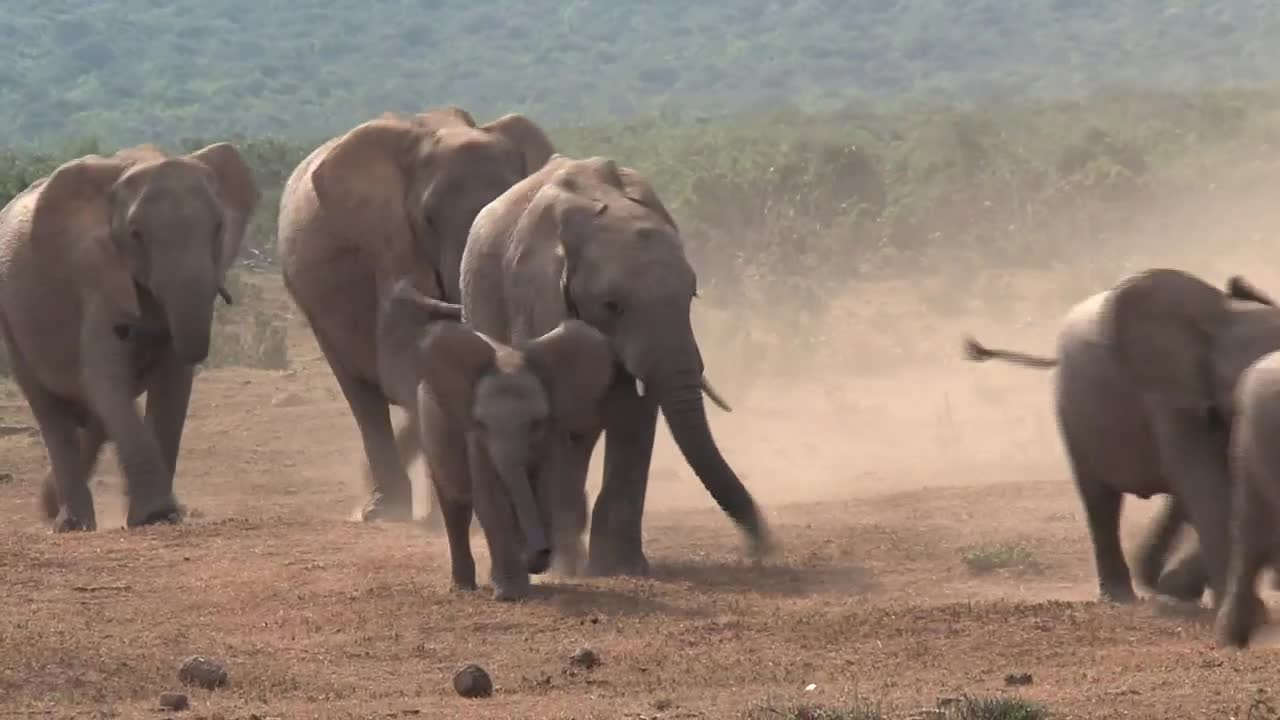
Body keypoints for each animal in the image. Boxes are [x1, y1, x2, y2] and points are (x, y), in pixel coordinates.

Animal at [0, 142, 257, 530]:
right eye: (135, 234)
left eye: (218, 227)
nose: (129, 328)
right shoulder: (97, 281)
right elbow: (106, 379)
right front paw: (155, 515)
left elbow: (172, 385)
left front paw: (162, 516)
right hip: (13, 325)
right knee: (51, 410)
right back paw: (70, 523)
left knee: (94, 418)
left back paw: (52, 505)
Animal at [381, 280, 616, 599]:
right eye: (481, 423)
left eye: (536, 423)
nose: (540, 553)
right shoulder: (477, 441)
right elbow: (492, 499)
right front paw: (510, 594)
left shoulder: (552, 435)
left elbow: (547, 491)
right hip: (432, 425)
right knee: (455, 504)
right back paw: (463, 586)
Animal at [463, 151, 778, 571]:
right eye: (612, 305)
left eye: (691, 294)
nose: (761, 548)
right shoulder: (531, 297)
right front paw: (569, 569)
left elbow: (634, 414)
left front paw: (621, 568)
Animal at [962, 266, 1280, 602]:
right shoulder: (1168, 396)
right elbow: (1205, 482)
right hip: (1072, 411)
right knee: (1100, 501)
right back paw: (1124, 595)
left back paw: (1164, 584)